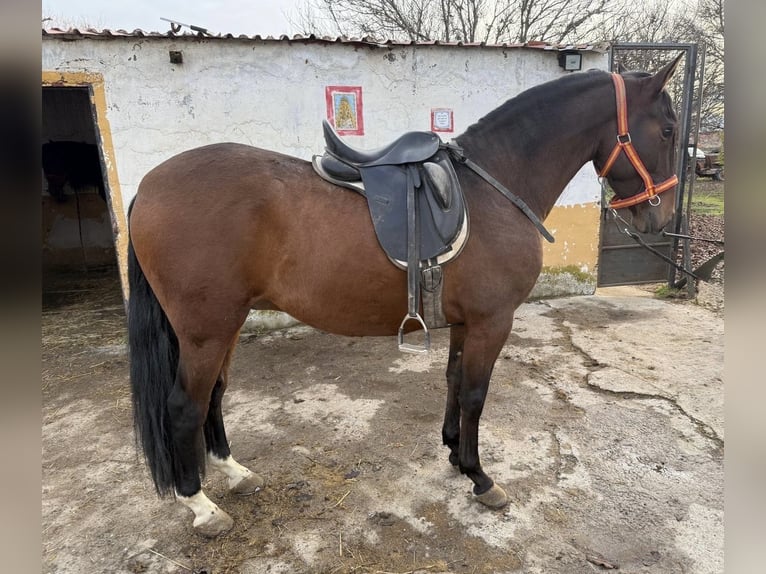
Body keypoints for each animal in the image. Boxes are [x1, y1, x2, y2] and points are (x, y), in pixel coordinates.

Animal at [127, 55, 683, 537]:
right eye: (669, 131)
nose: (657, 217)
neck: (495, 185)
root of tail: (147, 186)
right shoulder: (492, 321)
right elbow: (476, 394)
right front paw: (480, 477)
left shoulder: (465, 322)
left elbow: (455, 382)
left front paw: (455, 453)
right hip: (207, 329)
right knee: (184, 406)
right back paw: (201, 506)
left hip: (228, 324)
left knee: (214, 396)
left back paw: (235, 473)